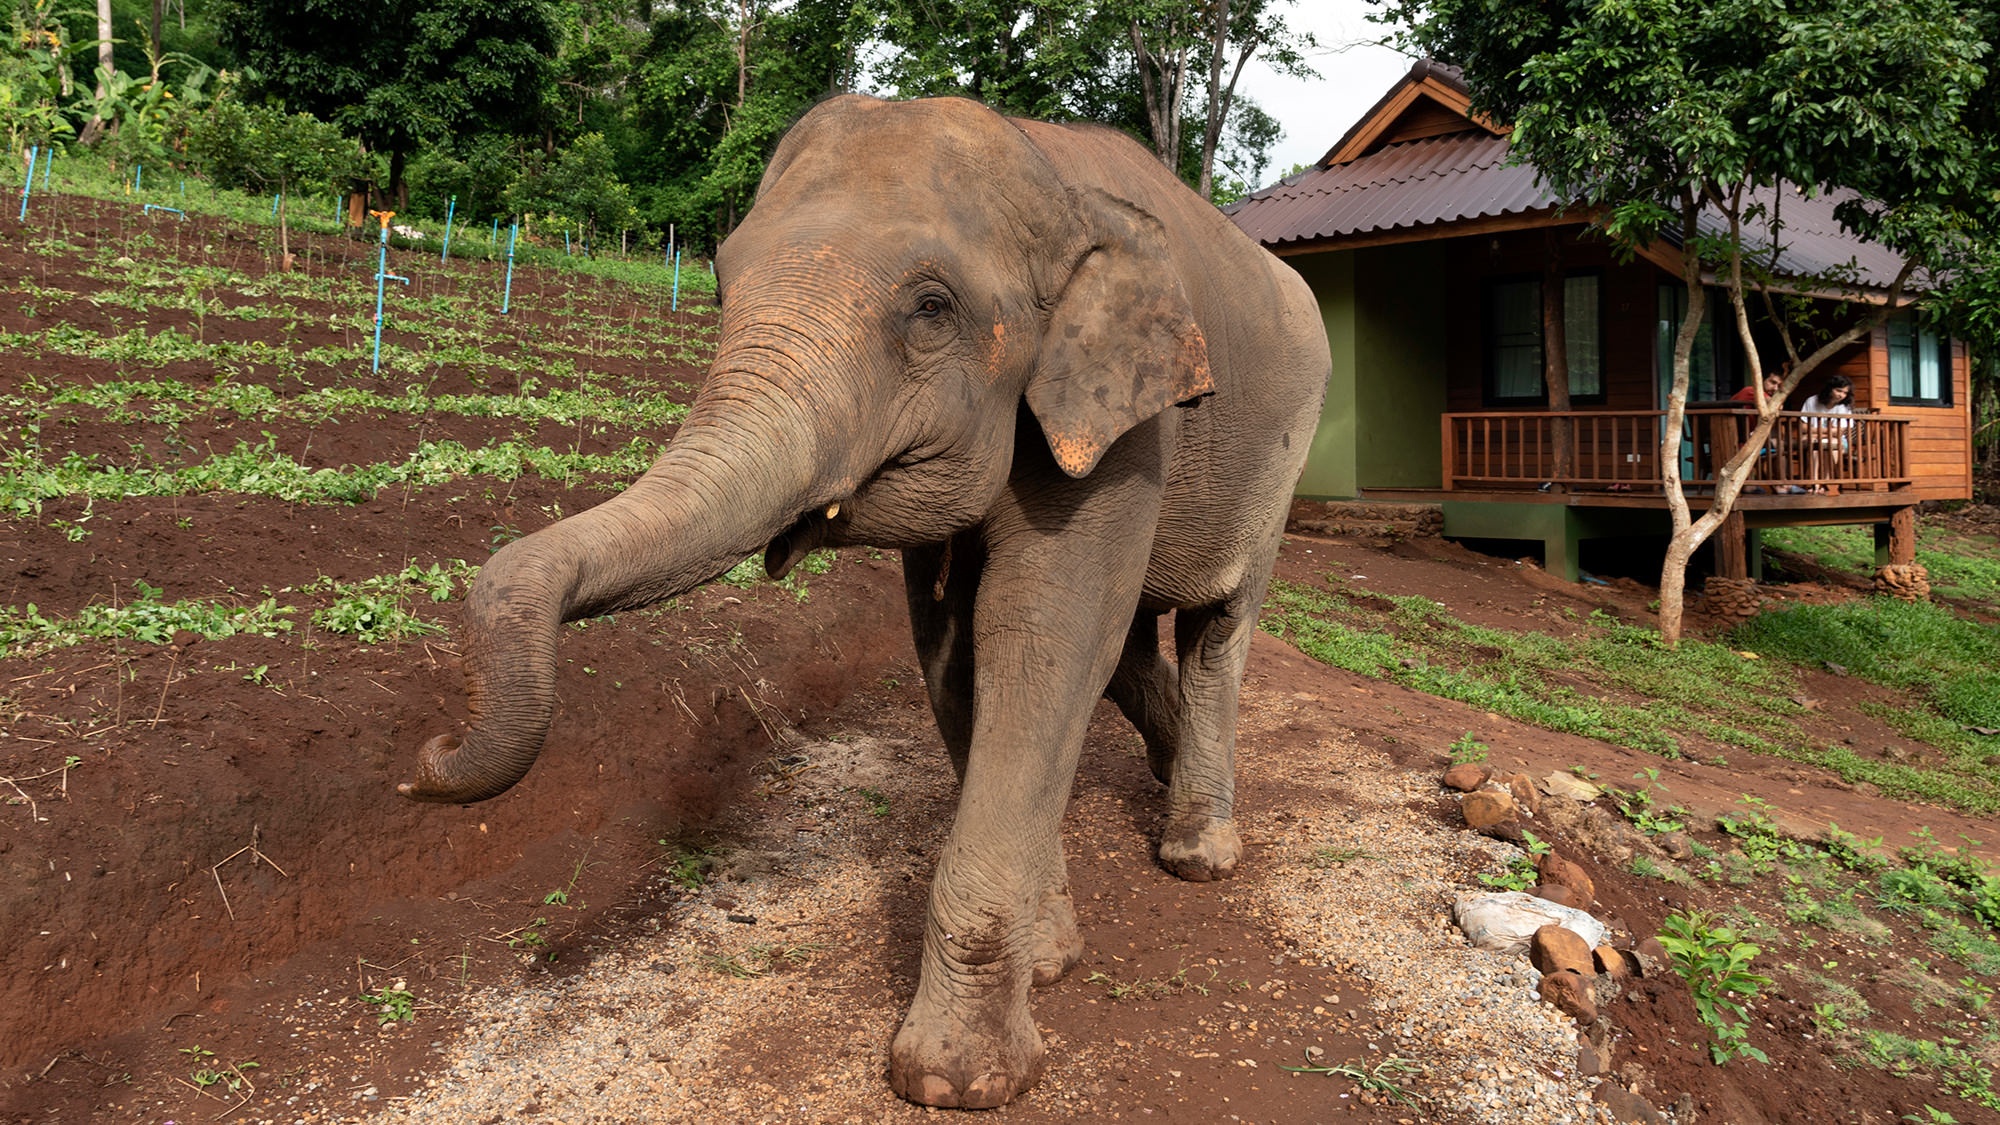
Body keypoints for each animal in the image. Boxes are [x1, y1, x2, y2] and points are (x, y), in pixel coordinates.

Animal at [398, 94, 1336, 1104]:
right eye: (719, 288)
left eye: (931, 309)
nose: (427, 755)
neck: (1046, 168)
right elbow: (958, 651)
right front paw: (1050, 961)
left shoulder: (1128, 426)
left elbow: (1041, 636)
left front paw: (958, 1080)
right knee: (1132, 644)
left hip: (1284, 457)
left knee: (1218, 629)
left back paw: (1198, 853)